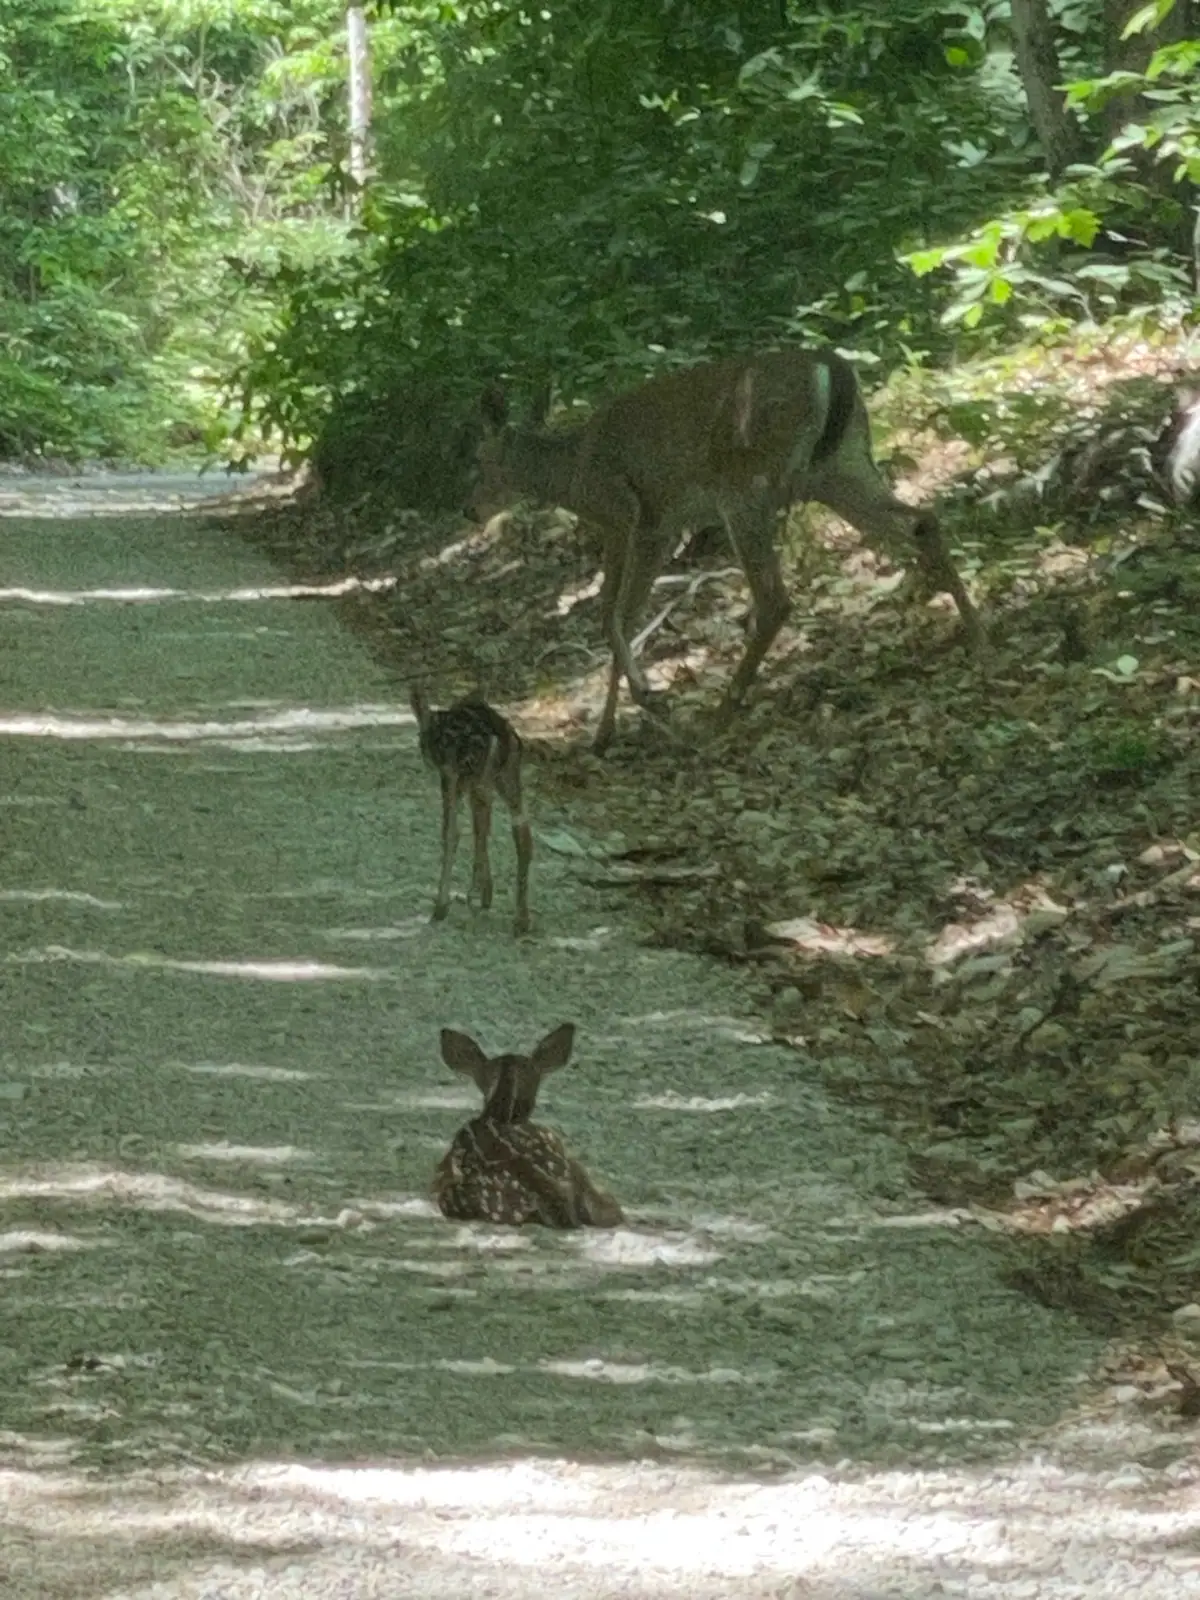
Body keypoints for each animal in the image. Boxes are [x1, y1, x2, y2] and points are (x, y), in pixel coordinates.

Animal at [409, 689, 532, 935]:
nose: (424, 751)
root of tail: (499, 736)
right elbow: (481, 827)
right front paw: (486, 892)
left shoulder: (452, 775)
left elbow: (455, 831)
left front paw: (467, 897)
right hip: (506, 773)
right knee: (522, 830)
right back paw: (521, 919)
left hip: (468, 772)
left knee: (455, 830)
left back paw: (446, 904)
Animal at [467, 348, 983, 753]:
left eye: (473, 460)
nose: (468, 509)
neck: (573, 472)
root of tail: (832, 369)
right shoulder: (643, 527)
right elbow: (618, 616)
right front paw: (606, 731)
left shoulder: (635, 517)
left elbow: (614, 617)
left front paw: (647, 701)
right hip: (841, 467)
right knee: (922, 521)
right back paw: (977, 630)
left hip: (747, 482)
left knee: (774, 598)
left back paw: (721, 713)